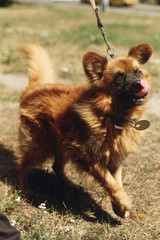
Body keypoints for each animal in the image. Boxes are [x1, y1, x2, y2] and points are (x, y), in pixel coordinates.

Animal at [18, 43, 152, 218]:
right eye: (118, 77)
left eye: (138, 72)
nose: (139, 84)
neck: (110, 115)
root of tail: (34, 87)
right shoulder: (91, 158)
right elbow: (111, 183)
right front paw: (124, 202)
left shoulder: (114, 159)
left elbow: (117, 182)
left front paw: (119, 207)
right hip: (39, 148)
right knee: (22, 165)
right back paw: (25, 189)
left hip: (64, 146)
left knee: (56, 166)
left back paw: (70, 185)